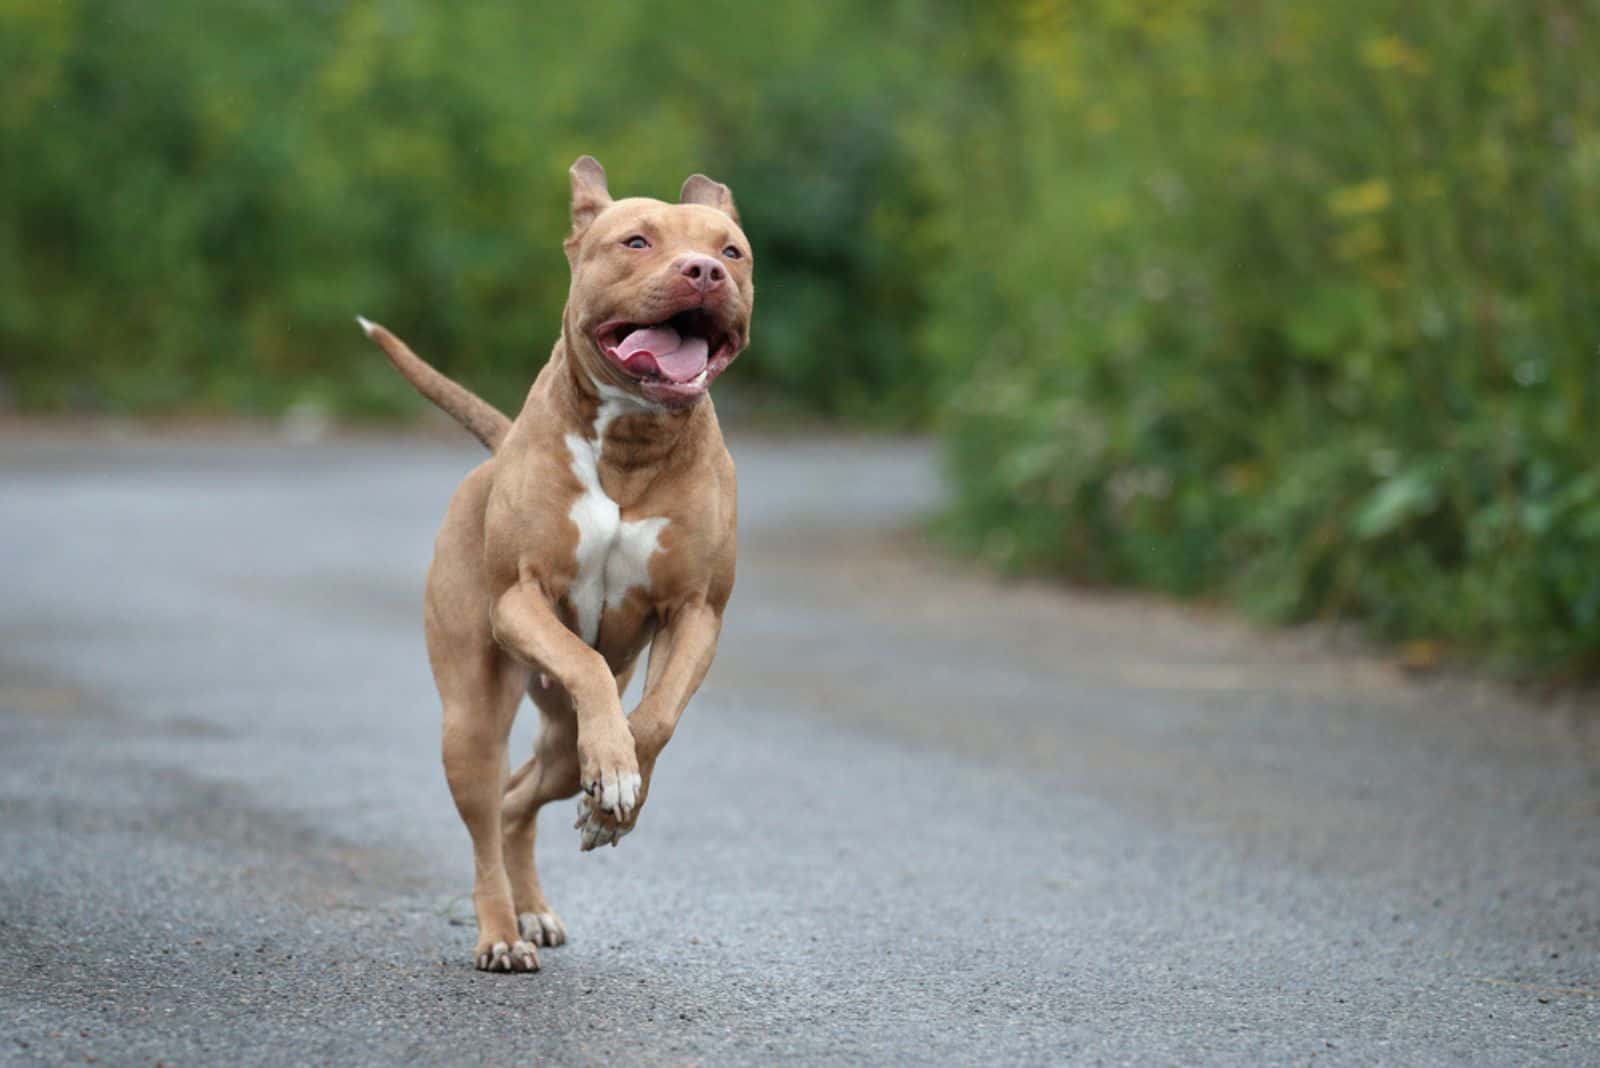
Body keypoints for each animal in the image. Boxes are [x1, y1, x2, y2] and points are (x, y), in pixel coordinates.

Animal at [356, 154, 748, 972]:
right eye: (636, 241)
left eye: (732, 252)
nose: (701, 271)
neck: (630, 441)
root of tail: (498, 444)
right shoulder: (520, 601)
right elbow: (587, 662)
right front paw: (615, 788)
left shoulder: (698, 612)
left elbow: (653, 721)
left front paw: (616, 805)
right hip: (472, 717)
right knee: (485, 811)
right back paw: (502, 933)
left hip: (563, 742)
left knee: (521, 795)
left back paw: (536, 903)